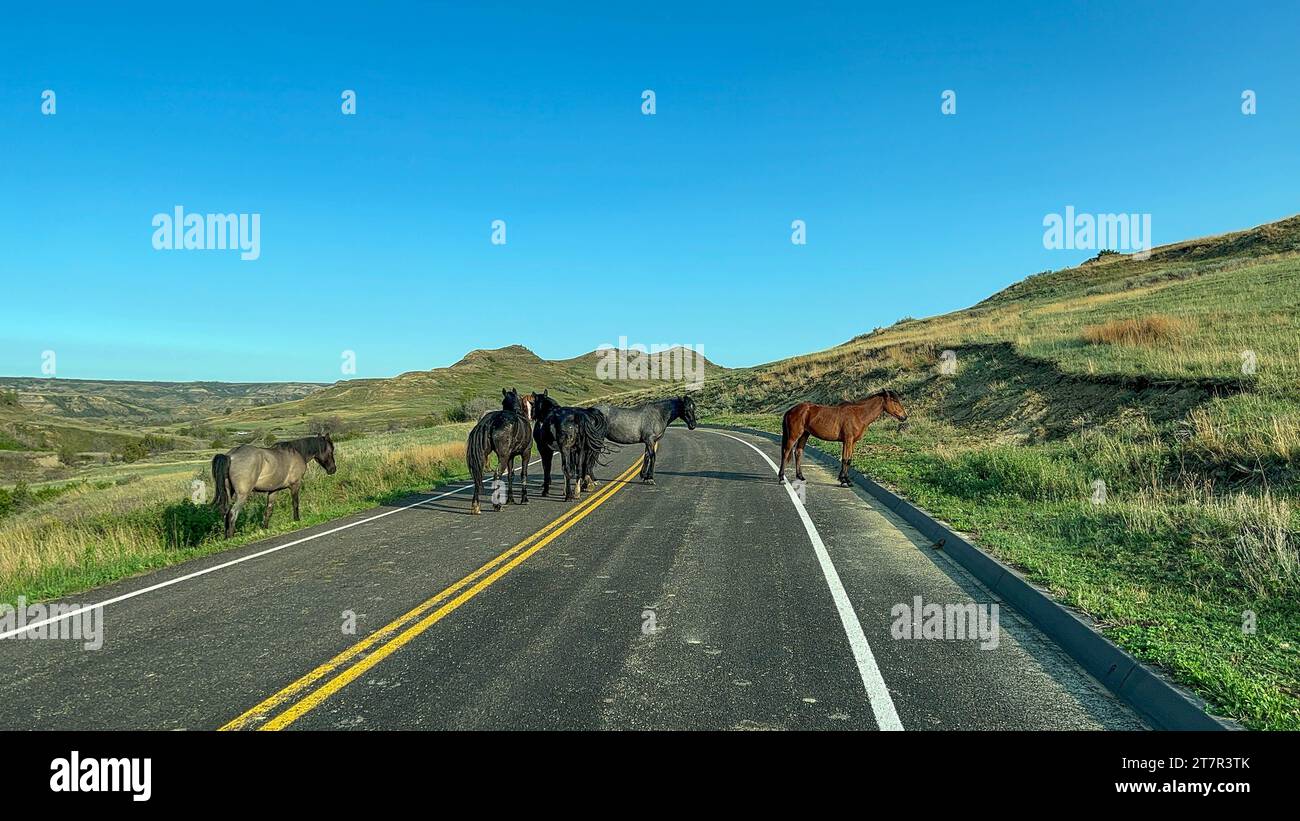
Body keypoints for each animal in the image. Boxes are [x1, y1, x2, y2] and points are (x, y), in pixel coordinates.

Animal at [774, 392, 909, 488]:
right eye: (894, 401)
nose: (904, 416)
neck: (858, 414)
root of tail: (791, 410)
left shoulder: (852, 442)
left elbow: (848, 460)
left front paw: (846, 480)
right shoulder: (848, 440)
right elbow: (845, 459)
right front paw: (844, 481)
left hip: (804, 434)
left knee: (798, 452)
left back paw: (801, 477)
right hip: (794, 435)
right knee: (786, 452)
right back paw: (781, 478)